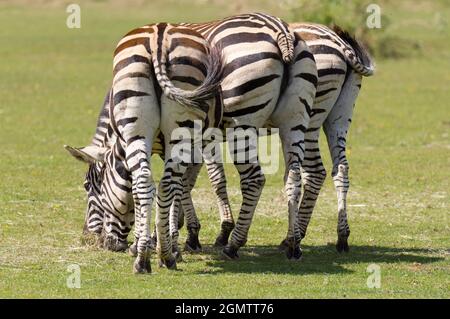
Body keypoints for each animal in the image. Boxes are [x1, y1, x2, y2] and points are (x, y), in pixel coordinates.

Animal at [64, 22, 223, 274]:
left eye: (87, 186)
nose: (90, 239)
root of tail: (160, 34)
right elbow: (173, 189)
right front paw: (164, 241)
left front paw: (159, 240)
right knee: (159, 185)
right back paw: (159, 257)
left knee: (152, 184)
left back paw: (153, 257)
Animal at [178, 22, 374, 258]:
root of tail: (337, 40)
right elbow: (190, 177)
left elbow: (212, 178)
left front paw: (212, 231)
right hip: (338, 116)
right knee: (337, 169)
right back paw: (335, 237)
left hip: (307, 118)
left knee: (311, 173)